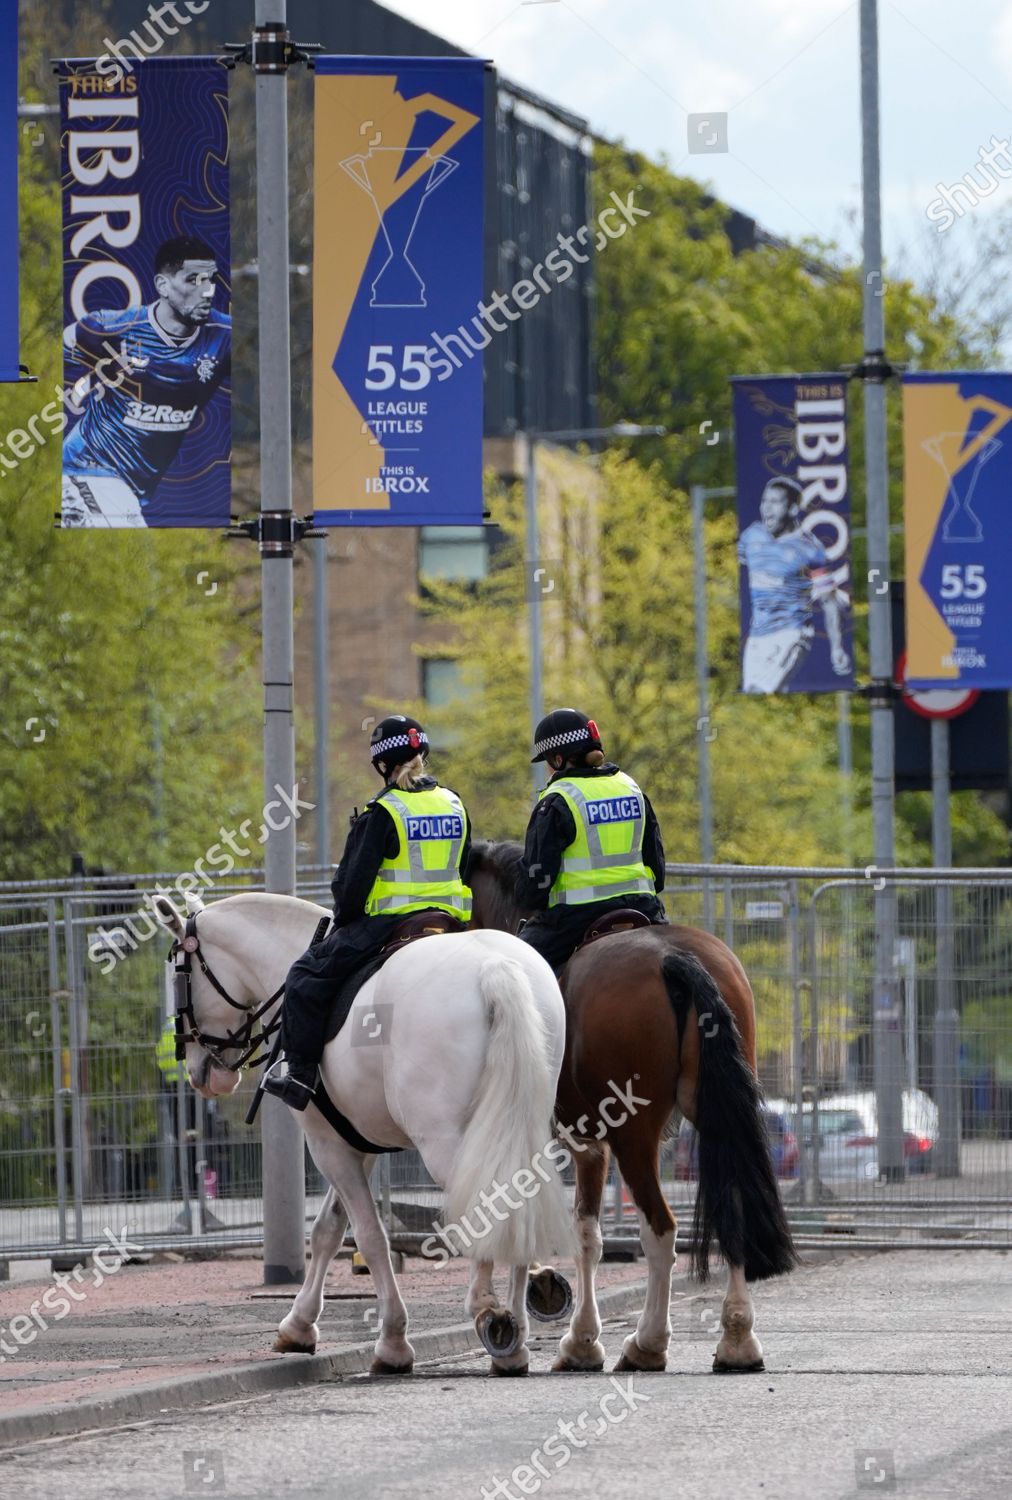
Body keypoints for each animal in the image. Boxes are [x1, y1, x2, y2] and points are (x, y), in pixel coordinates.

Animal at [155, 894, 572, 1374]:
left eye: (178, 975)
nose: (201, 1073)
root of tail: (496, 967)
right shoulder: (357, 1143)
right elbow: (328, 1228)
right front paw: (298, 1325)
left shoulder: (326, 1145)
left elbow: (369, 1236)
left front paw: (392, 1340)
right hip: (515, 1124)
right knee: (521, 1196)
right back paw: (516, 1333)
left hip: (446, 1143)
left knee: (490, 1201)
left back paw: (487, 1308)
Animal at [467, 840, 797, 1374]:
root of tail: (673, 957)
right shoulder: (589, 1148)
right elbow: (586, 1233)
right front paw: (574, 1336)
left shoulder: (562, 1142)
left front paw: (529, 1334)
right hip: (717, 1118)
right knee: (731, 1210)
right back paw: (737, 1340)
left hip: (635, 1136)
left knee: (660, 1231)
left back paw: (647, 1343)